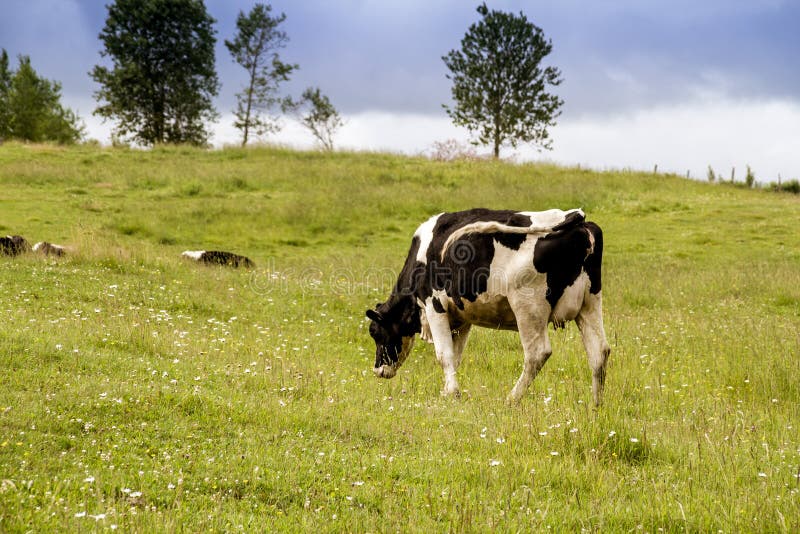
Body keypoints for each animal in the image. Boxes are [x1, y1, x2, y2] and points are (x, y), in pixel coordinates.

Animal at [365, 208, 610, 406]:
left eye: (375, 333)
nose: (377, 369)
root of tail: (577, 220)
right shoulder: (461, 318)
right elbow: (455, 356)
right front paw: (448, 391)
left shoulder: (434, 305)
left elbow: (444, 354)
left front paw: (452, 393)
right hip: (590, 303)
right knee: (599, 351)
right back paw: (595, 405)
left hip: (529, 306)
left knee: (537, 353)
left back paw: (511, 398)